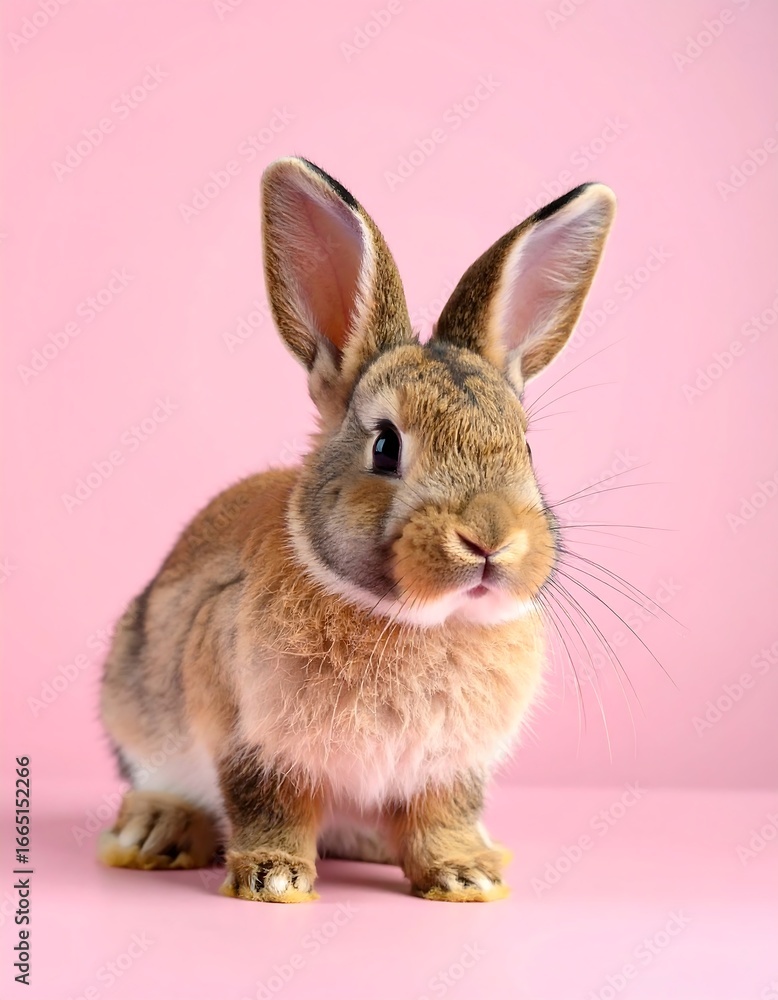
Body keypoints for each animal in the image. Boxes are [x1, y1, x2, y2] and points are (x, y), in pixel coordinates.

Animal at [99, 156, 615, 902]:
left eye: (526, 447)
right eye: (385, 446)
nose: (489, 538)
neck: (425, 621)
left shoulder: (449, 771)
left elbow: (442, 819)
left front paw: (465, 876)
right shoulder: (256, 744)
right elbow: (269, 807)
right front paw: (274, 880)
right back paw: (155, 833)